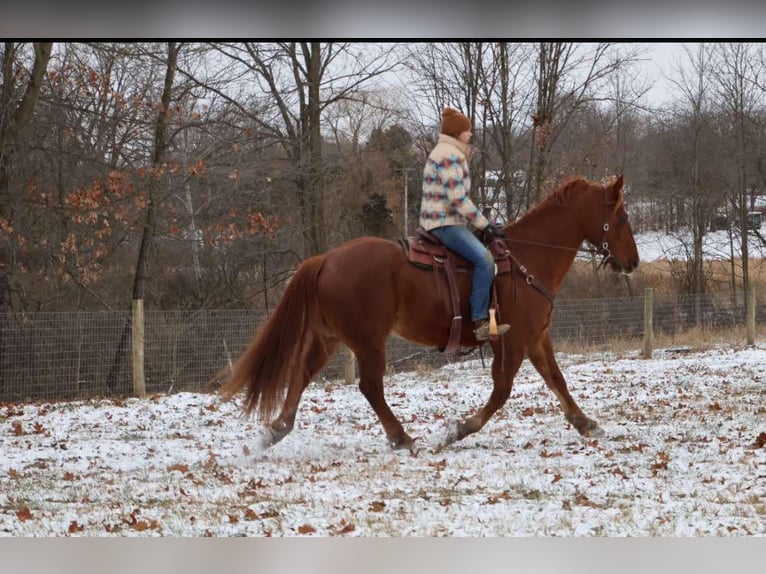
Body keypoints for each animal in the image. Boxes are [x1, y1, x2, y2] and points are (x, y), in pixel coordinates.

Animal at [220, 174, 640, 450]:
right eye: (621, 218)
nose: (633, 262)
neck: (526, 258)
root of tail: (326, 259)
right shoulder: (513, 343)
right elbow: (502, 391)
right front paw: (459, 429)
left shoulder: (536, 338)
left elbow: (557, 380)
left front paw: (585, 423)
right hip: (368, 342)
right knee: (369, 386)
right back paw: (401, 437)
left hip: (330, 337)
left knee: (302, 374)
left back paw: (277, 430)